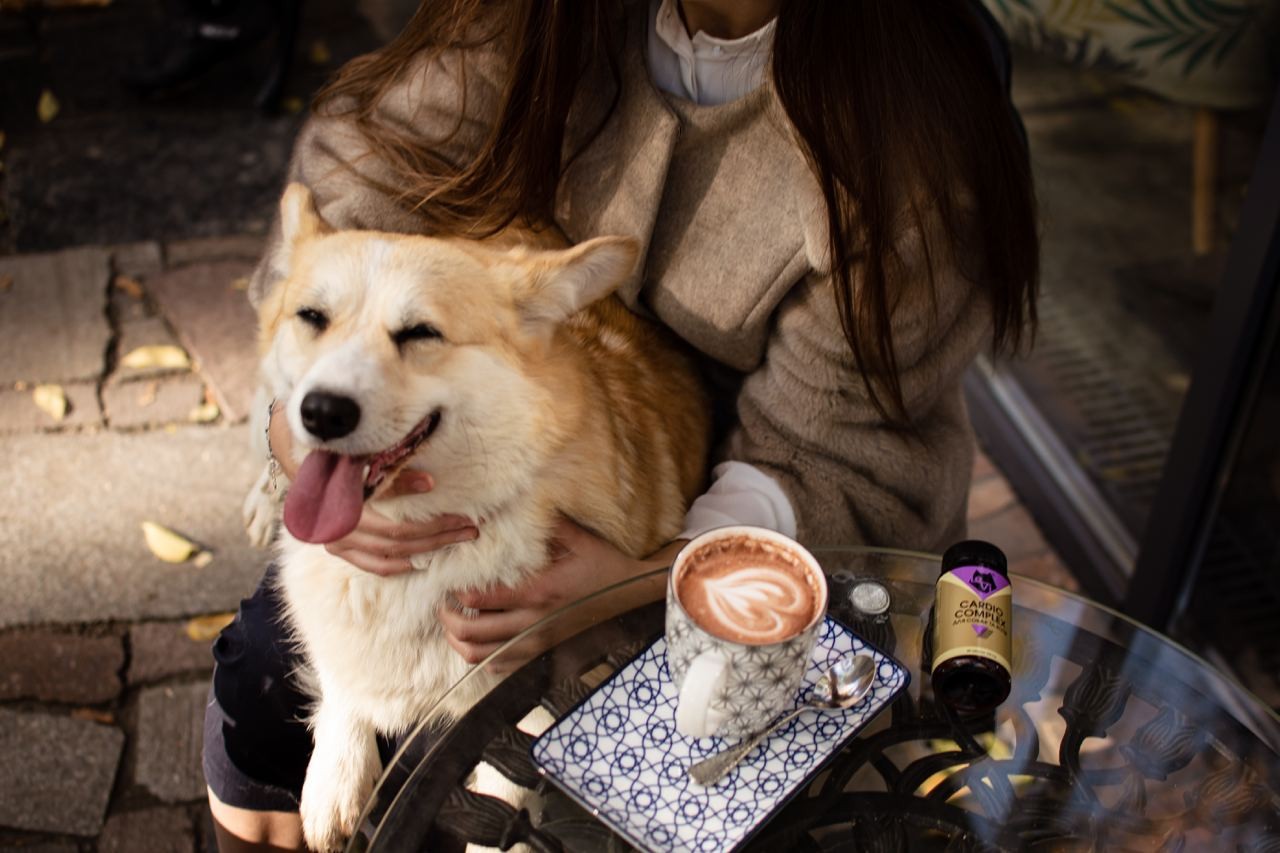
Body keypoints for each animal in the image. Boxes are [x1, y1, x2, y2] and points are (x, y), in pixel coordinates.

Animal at [244, 183, 709, 851]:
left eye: (420, 333)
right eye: (312, 318)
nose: (322, 412)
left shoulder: (528, 707)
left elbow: (505, 800)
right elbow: (341, 679)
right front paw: (338, 775)